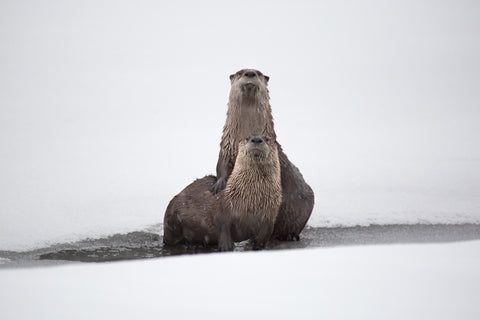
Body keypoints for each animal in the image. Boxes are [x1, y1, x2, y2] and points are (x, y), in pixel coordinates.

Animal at [214, 69, 316, 240]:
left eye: (258, 73)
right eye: (240, 73)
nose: (249, 73)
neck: (246, 133)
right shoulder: (226, 148)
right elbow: (221, 167)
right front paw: (219, 184)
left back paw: (289, 235)